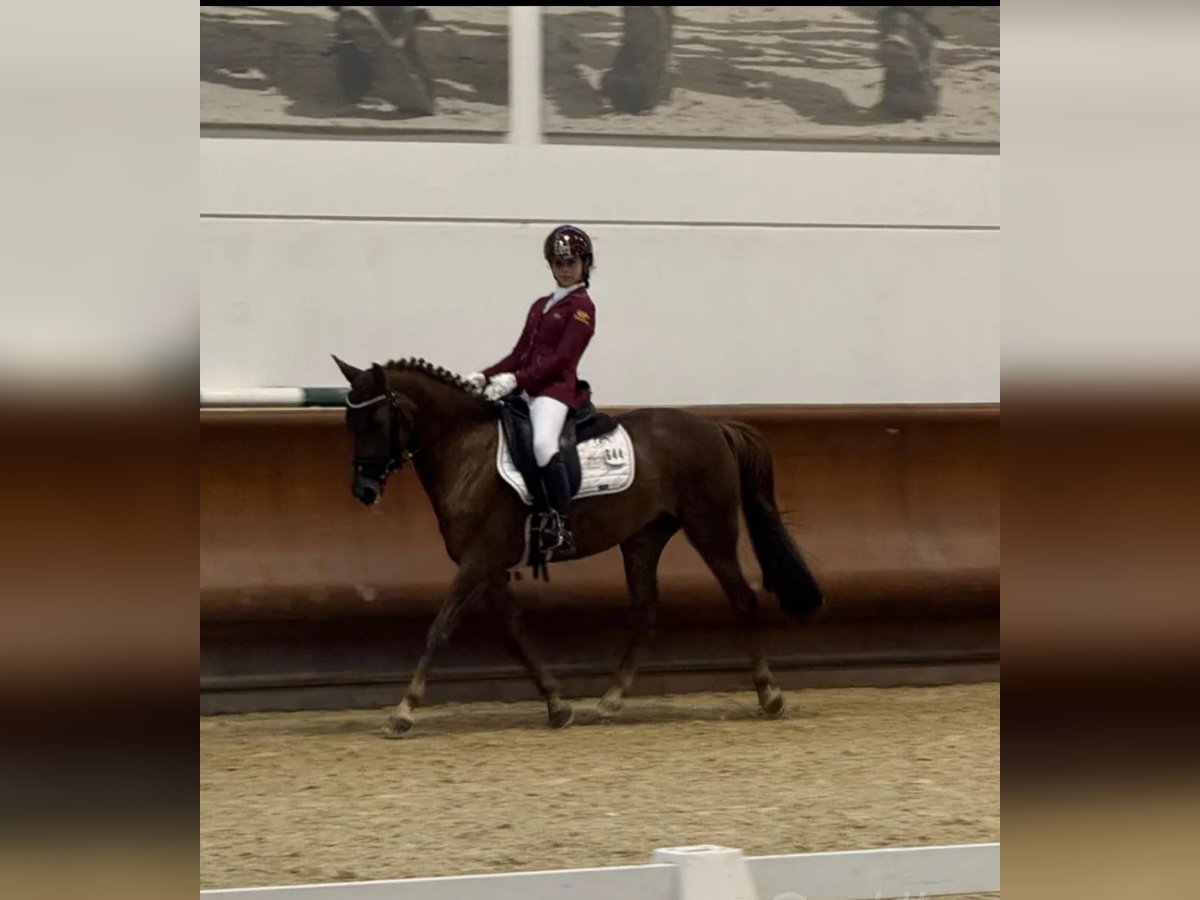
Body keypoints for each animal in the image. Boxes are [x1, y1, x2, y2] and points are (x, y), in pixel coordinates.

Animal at [336, 355, 825, 734]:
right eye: (349, 422)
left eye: (375, 420)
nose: (364, 490)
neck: (468, 451)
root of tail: (714, 427)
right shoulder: (489, 566)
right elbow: (514, 633)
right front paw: (557, 704)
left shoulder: (477, 559)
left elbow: (440, 629)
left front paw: (403, 711)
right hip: (642, 540)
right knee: (647, 614)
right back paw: (609, 701)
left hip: (710, 530)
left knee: (743, 600)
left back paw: (770, 694)